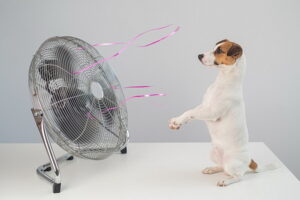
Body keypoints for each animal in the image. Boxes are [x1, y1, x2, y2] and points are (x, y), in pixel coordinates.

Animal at [169, 39, 274, 187]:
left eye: (219, 51)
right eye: (214, 48)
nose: (199, 55)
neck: (223, 80)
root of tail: (250, 162)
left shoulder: (211, 112)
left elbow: (191, 113)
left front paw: (178, 121)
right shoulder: (204, 105)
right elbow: (190, 111)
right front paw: (176, 121)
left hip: (231, 162)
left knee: (238, 176)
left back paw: (226, 181)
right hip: (213, 153)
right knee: (222, 167)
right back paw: (212, 169)